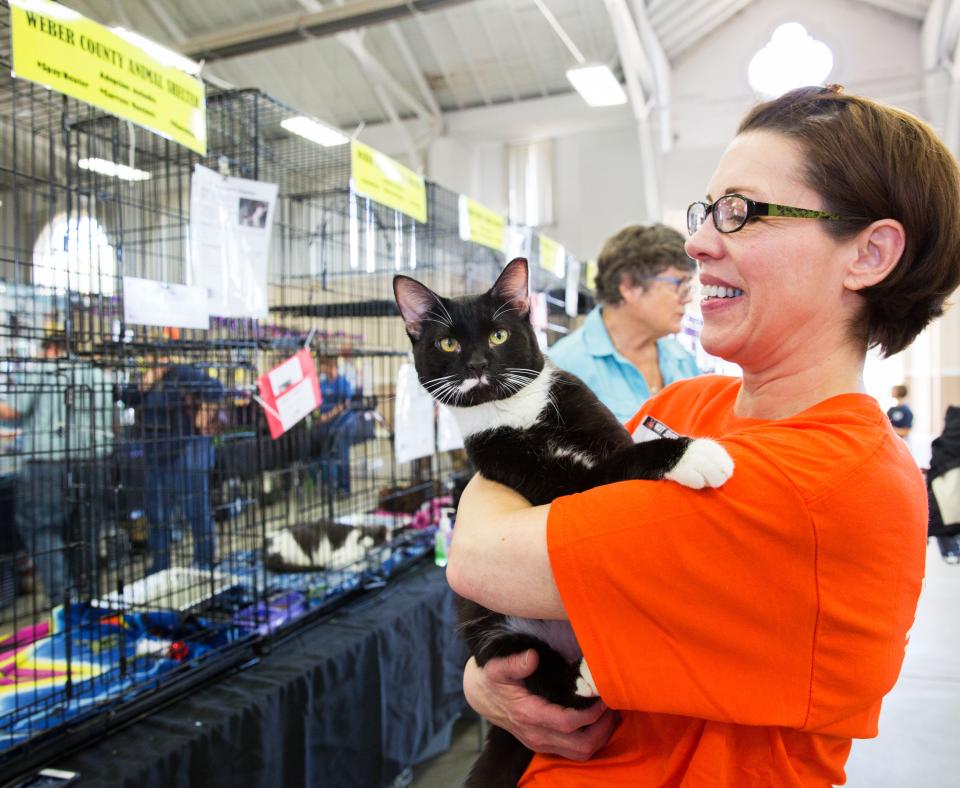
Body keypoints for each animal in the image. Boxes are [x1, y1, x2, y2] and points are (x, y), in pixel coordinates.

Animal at [394, 258, 732, 788]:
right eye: (447, 344)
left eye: (498, 335)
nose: (477, 365)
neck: (519, 413)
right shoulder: (538, 476)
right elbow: (617, 469)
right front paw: (693, 454)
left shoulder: (589, 417)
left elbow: (619, 456)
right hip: (494, 635)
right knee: (545, 677)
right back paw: (587, 676)